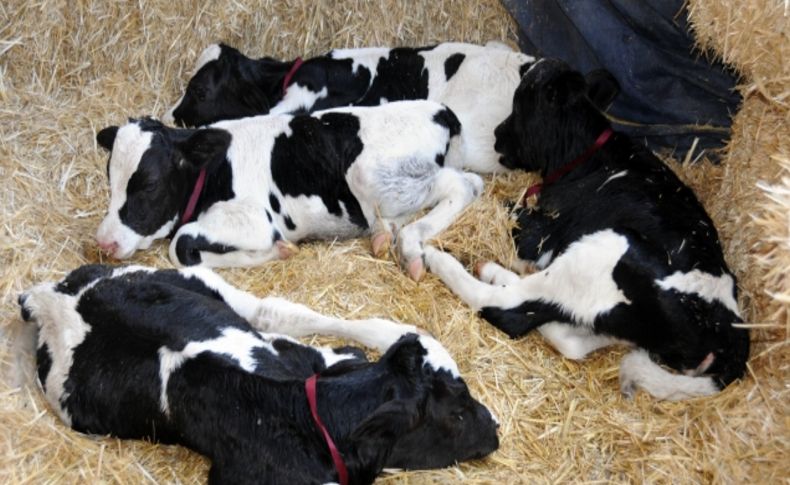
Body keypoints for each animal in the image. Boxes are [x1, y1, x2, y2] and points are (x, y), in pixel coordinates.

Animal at [20, 264, 502, 484]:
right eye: (456, 415)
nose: (496, 427)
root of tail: (51, 295)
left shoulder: (315, 361)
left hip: (200, 281)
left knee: (273, 311)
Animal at [96, 100, 486, 278]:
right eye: (109, 178)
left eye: (149, 185)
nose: (104, 242)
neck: (217, 171)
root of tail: (440, 110)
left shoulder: (255, 220)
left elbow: (181, 244)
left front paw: (274, 251)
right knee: (471, 183)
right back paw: (383, 234)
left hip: (371, 174)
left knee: (461, 186)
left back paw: (410, 246)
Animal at [424, 58, 752, 400]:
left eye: (520, 102)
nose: (498, 135)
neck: (586, 157)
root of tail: (730, 337)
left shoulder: (542, 232)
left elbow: (503, 211)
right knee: (566, 333)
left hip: (602, 251)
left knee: (507, 307)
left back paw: (447, 261)